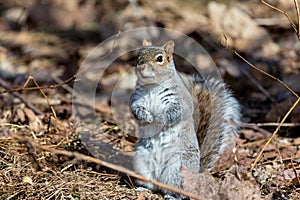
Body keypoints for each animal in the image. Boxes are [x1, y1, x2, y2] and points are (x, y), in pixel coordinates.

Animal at [129, 40, 241, 198]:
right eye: (138, 56)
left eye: (160, 58)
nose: (141, 66)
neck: (152, 86)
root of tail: (196, 173)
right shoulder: (136, 99)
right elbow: (135, 109)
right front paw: (147, 117)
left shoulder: (180, 102)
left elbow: (174, 114)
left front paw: (158, 118)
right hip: (142, 162)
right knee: (154, 185)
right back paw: (144, 188)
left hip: (178, 168)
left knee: (175, 190)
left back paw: (172, 196)